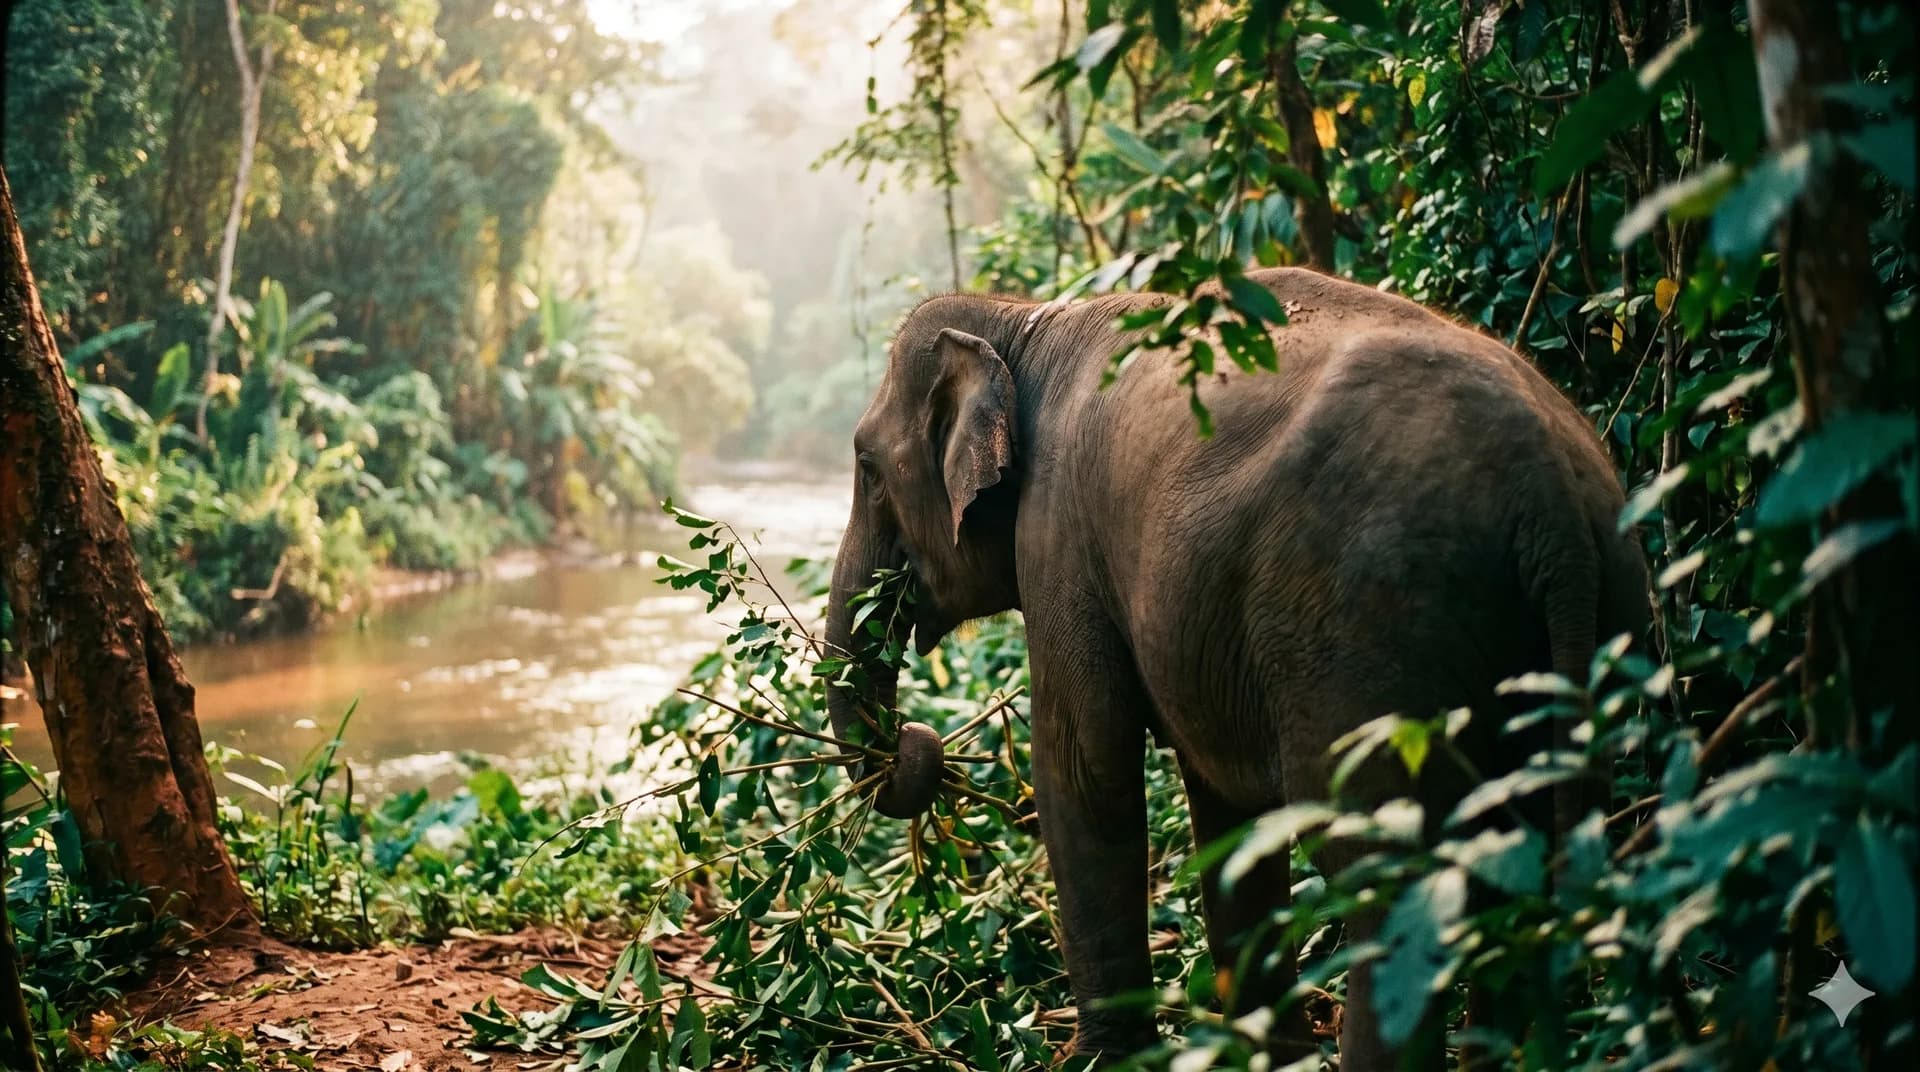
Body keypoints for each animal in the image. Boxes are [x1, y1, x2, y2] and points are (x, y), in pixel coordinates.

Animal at [822, 267, 1648, 1067]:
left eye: (866, 465)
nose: (917, 742)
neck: (1023, 320)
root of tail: (1552, 506)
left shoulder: (1058, 533)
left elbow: (1086, 769)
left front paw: (1098, 1063)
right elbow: (1224, 804)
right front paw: (1269, 1056)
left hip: (1380, 629)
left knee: (1388, 885)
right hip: (1590, 621)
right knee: (1515, 868)